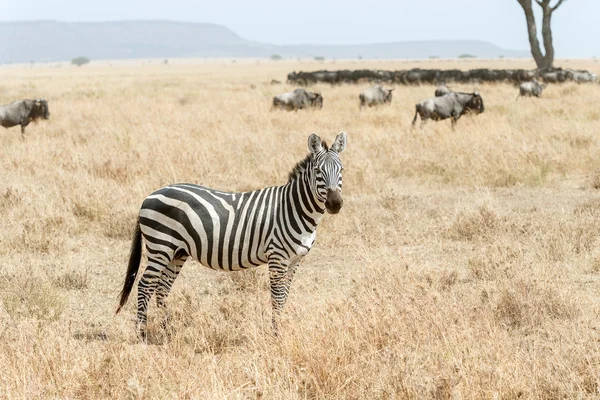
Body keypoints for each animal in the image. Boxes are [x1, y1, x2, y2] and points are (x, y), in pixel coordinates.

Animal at [116, 131, 346, 338]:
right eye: (318, 171)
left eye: (341, 169)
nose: (335, 204)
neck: (293, 208)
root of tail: (150, 195)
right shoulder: (277, 257)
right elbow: (277, 296)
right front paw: (276, 335)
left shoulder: (295, 260)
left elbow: (285, 295)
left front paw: (280, 330)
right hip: (160, 246)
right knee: (145, 285)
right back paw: (142, 334)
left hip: (178, 251)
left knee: (162, 288)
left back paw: (168, 331)